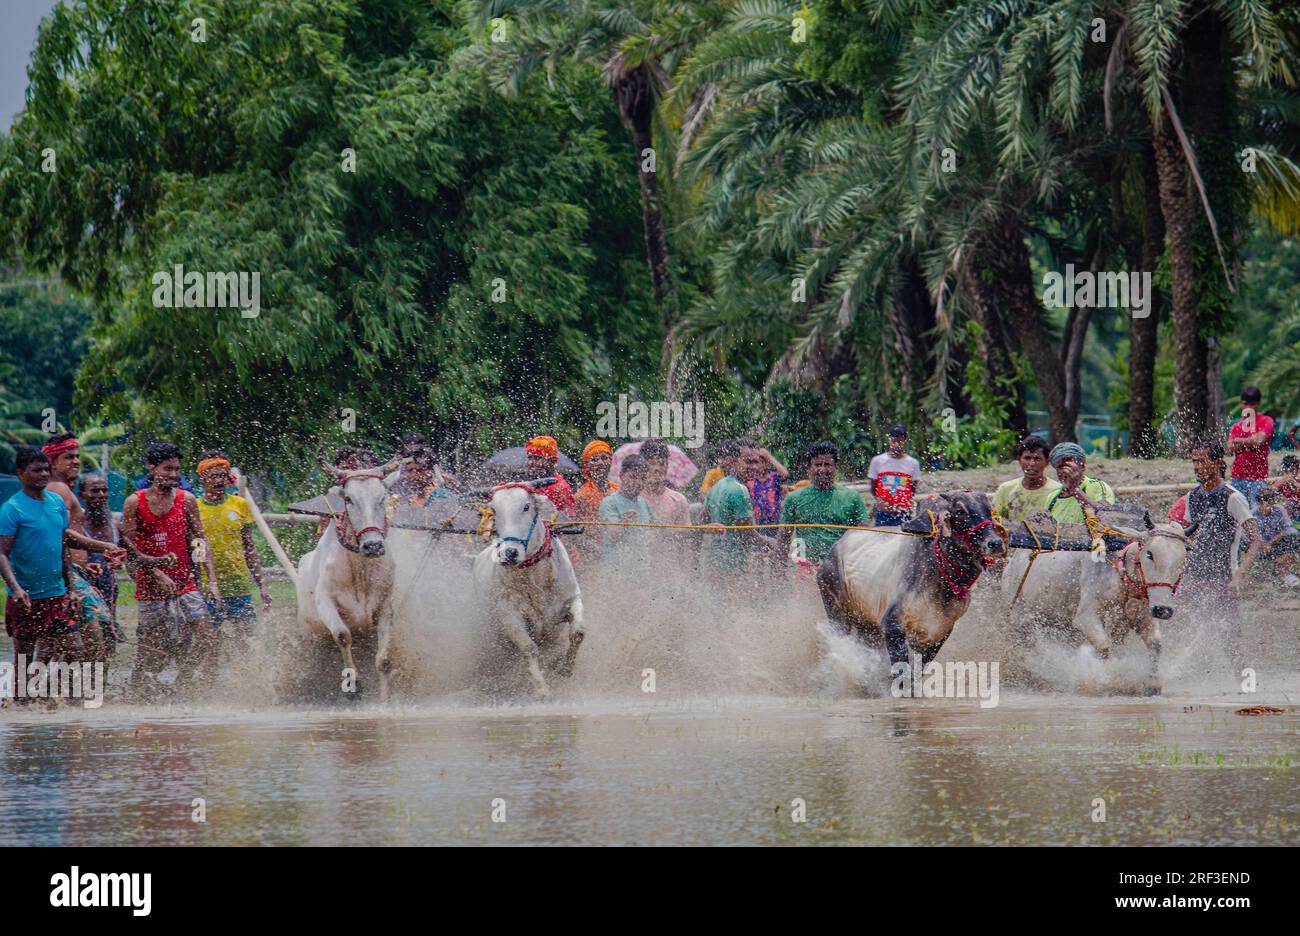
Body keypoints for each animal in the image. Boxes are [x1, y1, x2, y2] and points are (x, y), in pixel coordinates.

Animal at [297, 449, 403, 696]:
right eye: (348, 499)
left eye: (382, 497)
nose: (373, 545)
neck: (359, 568)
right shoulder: (325, 600)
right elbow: (343, 635)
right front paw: (353, 683)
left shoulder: (385, 606)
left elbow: (384, 660)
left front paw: (385, 699)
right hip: (308, 633)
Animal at [473, 483, 585, 696]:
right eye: (494, 511)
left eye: (526, 507)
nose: (509, 553)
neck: (535, 577)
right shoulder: (508, 615)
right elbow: (528, 648)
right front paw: (541, 689)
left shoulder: (571, 598)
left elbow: (578, 633)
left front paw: (565, 668)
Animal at [998, 514, 1190, 691]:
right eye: (1150, 554)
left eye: (1182, 559)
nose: (1163, 610)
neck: (1120, 575)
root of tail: (1013, 563)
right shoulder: (1085, 617)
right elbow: (1104, 647)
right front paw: (1109, 678)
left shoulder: (1143, 617)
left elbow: (1156, 645)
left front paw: (1152, 684)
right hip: (1017, 617)